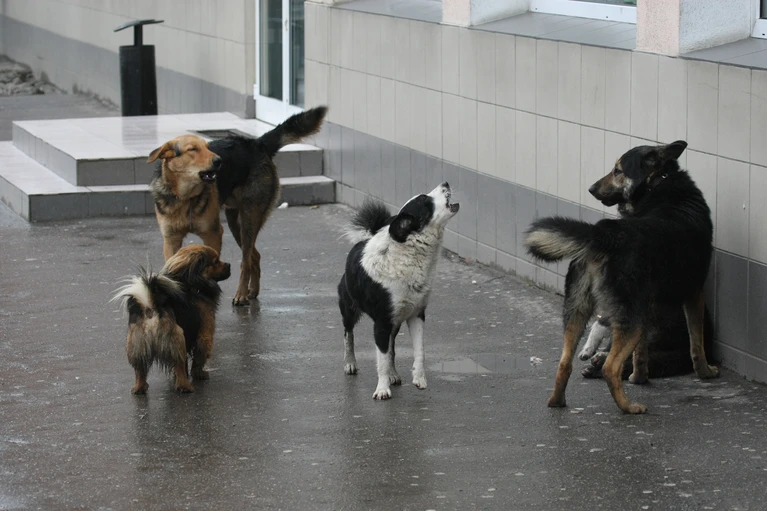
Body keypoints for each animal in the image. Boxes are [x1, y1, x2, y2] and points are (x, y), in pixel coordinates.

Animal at [113, 245, 231, 394]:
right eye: (215, 262)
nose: (229, 265)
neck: (191, 284)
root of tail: (150, 307)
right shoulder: (205, 334)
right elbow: (198, 358)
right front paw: (199, 374)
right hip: (177, 339)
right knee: (179, 363)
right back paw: (185, 386)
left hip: (137, 345)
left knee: (140, 370)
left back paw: (140, 387)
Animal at [148, 106, 328, 305]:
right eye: (193, 149)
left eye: (208, 148)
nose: (219, 161)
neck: (186, 197)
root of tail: (257, 143)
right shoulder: (171, 239)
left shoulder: (213, 234)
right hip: (235, 223)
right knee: (254, 256)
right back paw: (252, 290)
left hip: (249, 218)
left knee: (246, 261)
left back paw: (241, 294)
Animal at [337, 183, 459, 400]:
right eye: (425, 201)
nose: (445, 183)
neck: (408, 254)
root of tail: (363, 240)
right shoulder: (381, 322)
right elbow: (382, 359)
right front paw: (382, 389)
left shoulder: (416, 315)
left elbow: (418, 351)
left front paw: (419, 378)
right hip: (350, 308)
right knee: (348, 334)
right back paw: (350, 362)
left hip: (395, 322)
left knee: (391, 348)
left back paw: (393, 374)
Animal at [525, 140, 719, 414]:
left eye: (617, 170)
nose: (591, 188)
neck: (658, 182)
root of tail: (605, 236)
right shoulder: (693, 294)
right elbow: (696, 344)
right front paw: (705, 372)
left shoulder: (649, 305)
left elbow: (640, 354)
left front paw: (639, 377)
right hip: (631, 317)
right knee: (610, 367)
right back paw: (628, 407)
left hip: (578, 310)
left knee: (564, 362)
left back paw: (557, 401)